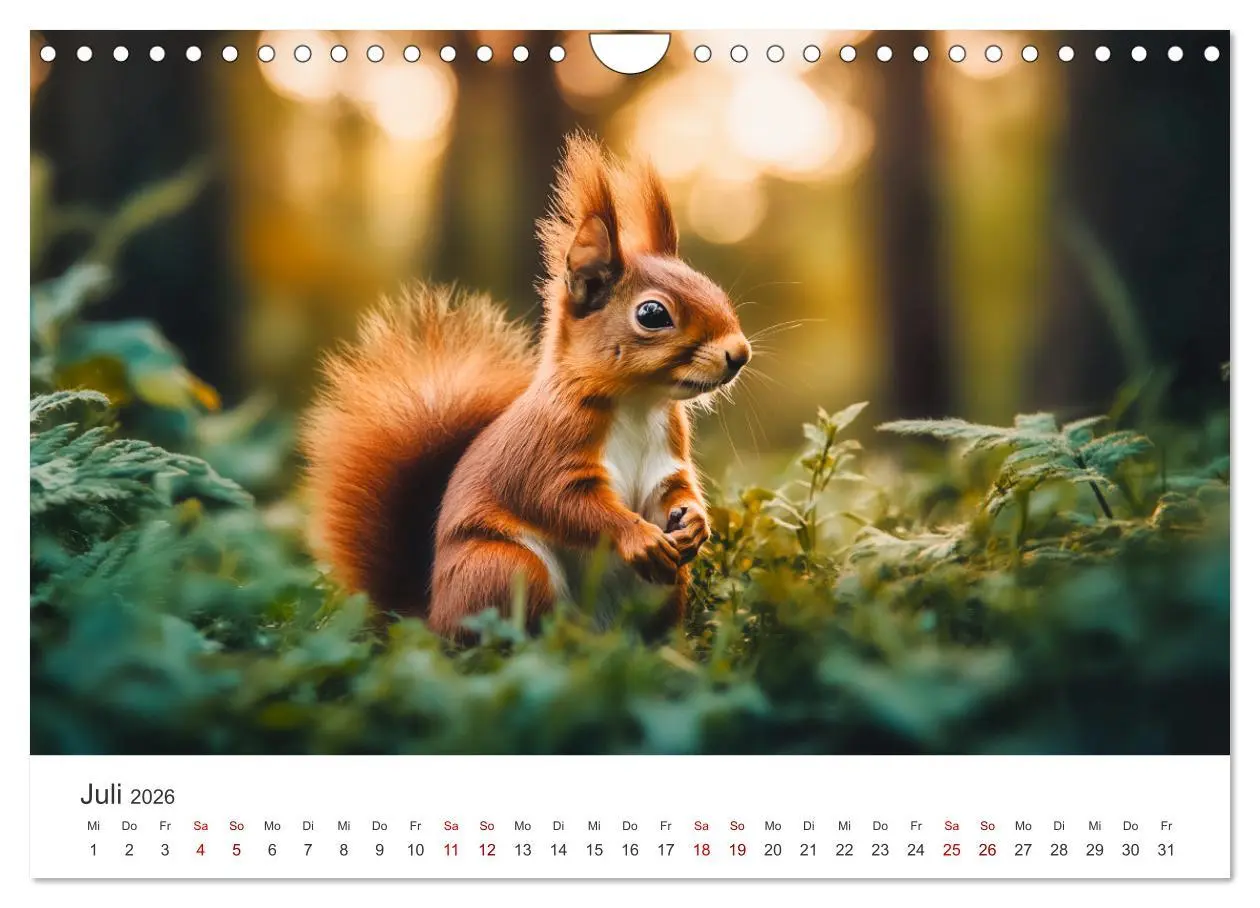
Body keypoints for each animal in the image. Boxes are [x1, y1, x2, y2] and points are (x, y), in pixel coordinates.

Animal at [301, 133, 751, 638]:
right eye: (652, 314)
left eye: (712, 287)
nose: (739, 353)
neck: (638, 402)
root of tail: (429, 616)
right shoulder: (546, 450)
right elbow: (561, 502)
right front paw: (636, 535)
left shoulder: (666, 456)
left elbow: (676, 488)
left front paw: (695, 523)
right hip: (504, 566)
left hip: (663, 588)